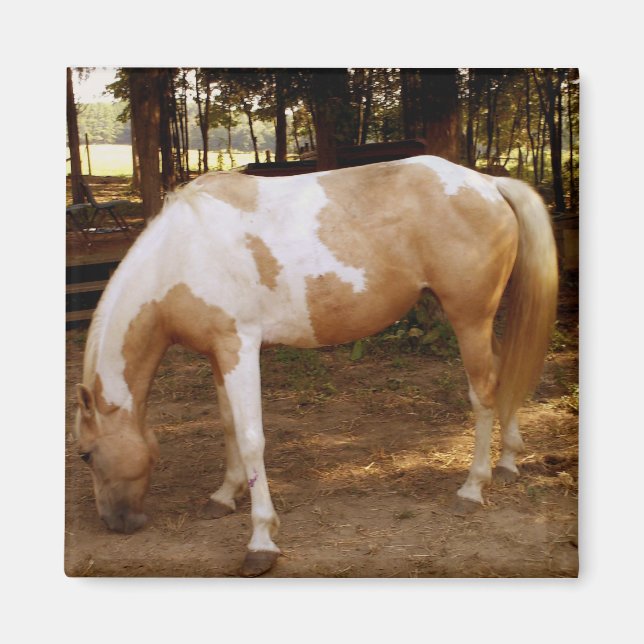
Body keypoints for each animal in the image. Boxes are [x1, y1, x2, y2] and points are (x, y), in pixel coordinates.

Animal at [73, 155, 558, 577]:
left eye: (85, 454)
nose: (116, 523)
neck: (180, 252)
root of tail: (488, 183)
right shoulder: (219, 353)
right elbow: (229, 427)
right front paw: (225, 495)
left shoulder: (239, 347)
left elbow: (251, 439)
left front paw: (261, 542)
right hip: (477, 323)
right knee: (503, 375)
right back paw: (508, 463)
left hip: (469, 318)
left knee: (484, 392)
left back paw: (473, 488)